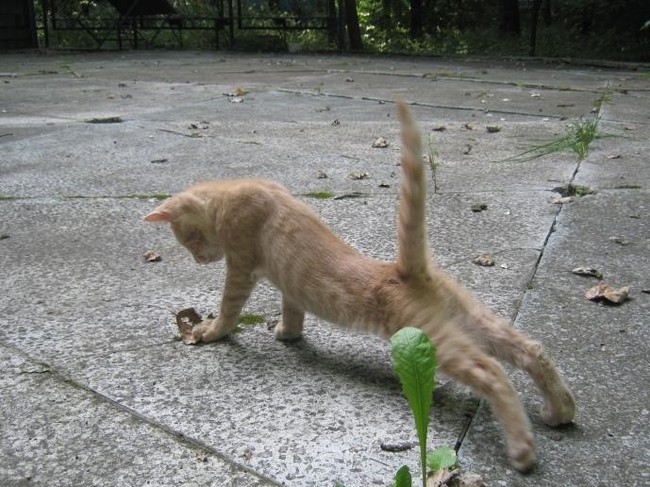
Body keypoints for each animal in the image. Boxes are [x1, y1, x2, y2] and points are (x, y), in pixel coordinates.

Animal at [146, 100, 572, 472]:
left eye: (189, 240)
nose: (200, 260)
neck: (237, 189)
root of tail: (405, 269)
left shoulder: (240, 265)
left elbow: (229, 307)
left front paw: (211, 331)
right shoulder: (288, 284)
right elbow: (292, 305)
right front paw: (288, 332)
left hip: (433, 338)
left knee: (492, 372)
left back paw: (522, 450)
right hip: (468, 318)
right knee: (529, 349)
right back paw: (561, 410)